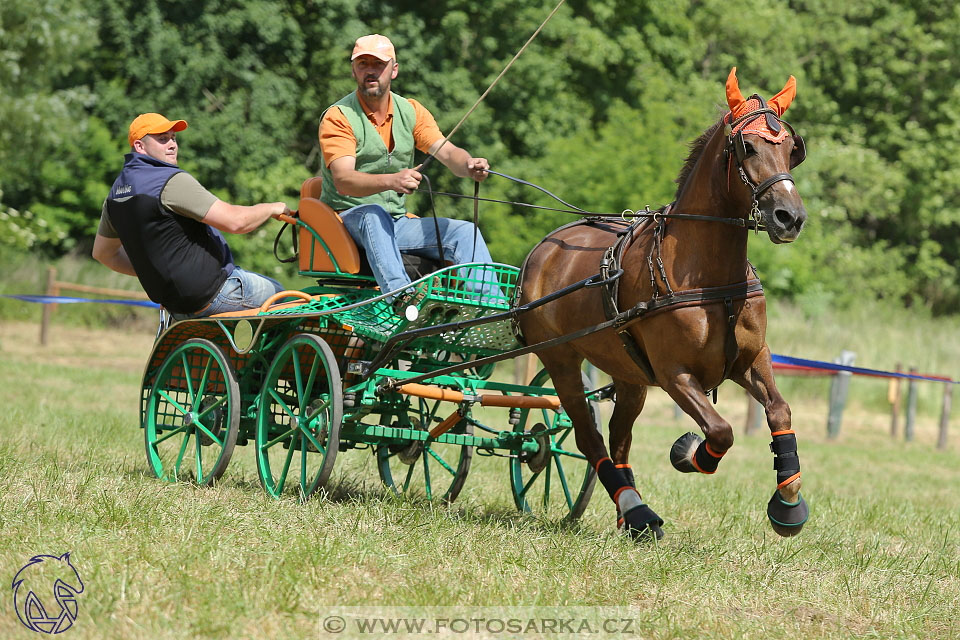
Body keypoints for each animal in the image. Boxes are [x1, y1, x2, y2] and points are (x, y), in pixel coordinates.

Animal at [516, 69, 808, 540]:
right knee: (588, 437)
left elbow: (779, 411)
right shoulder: (675, 374)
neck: (710, 280)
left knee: (618, 439)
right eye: (747, 146)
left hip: (629, 376)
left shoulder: (751, 358)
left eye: (790, 149)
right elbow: (721, 431)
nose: (790, 217)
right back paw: (636, 510)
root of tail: (543, 249)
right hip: (561, 362)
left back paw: (631, 514)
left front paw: (788, 503)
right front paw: (689, 452)